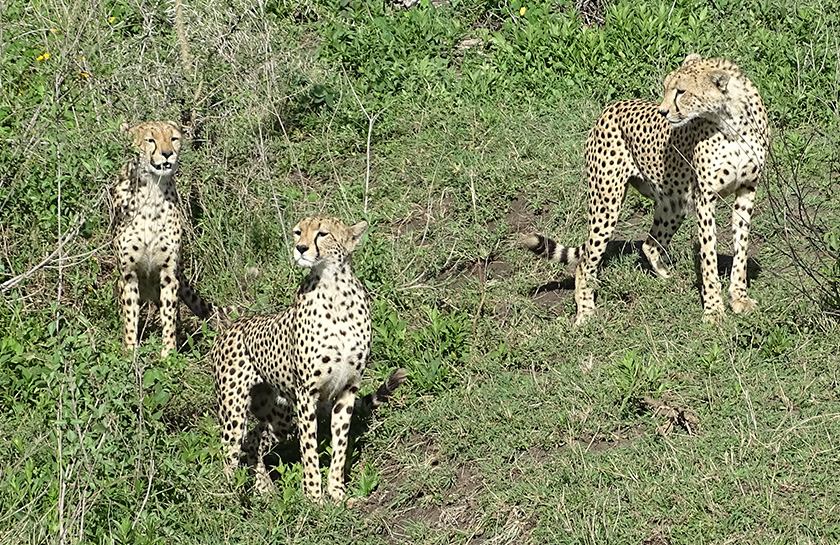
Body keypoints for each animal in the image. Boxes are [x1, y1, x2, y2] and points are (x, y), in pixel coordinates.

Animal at [113, 120, 224, 357]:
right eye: (150, 140)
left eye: (173, 138)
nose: (167, 154)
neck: (152, 190)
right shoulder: (128, 274)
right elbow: (130, 317)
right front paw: (130, 352)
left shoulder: (169, 274)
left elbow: (169, 317)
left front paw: (168, 354)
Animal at [210, 215, 407, 502]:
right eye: (297, 232)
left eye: (322, 233)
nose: (300, 248)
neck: (335, 291)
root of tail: (231, 324)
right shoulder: (307, 393)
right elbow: (309, 448)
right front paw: (314, 496)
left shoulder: (348, 389)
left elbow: (340, 444)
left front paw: (336, 490)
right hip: (234, 409)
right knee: (230, 452)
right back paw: (229, 499)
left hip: (278, 417)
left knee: (254, 441)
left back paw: (264, 489)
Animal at [523, 54, 769, 325]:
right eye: (667, 87)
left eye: (681, 91)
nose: (663, 111)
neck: (730, 120)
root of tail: (611, 106)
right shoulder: (706, 198)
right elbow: (708, 257)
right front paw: (713, 309)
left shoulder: (747, 190)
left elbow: (741, 248)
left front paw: (739, 297)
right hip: (606, 203)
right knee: (586, 260)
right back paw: (585, 313)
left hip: (674, 204)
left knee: (649, 244)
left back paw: (667, 278)